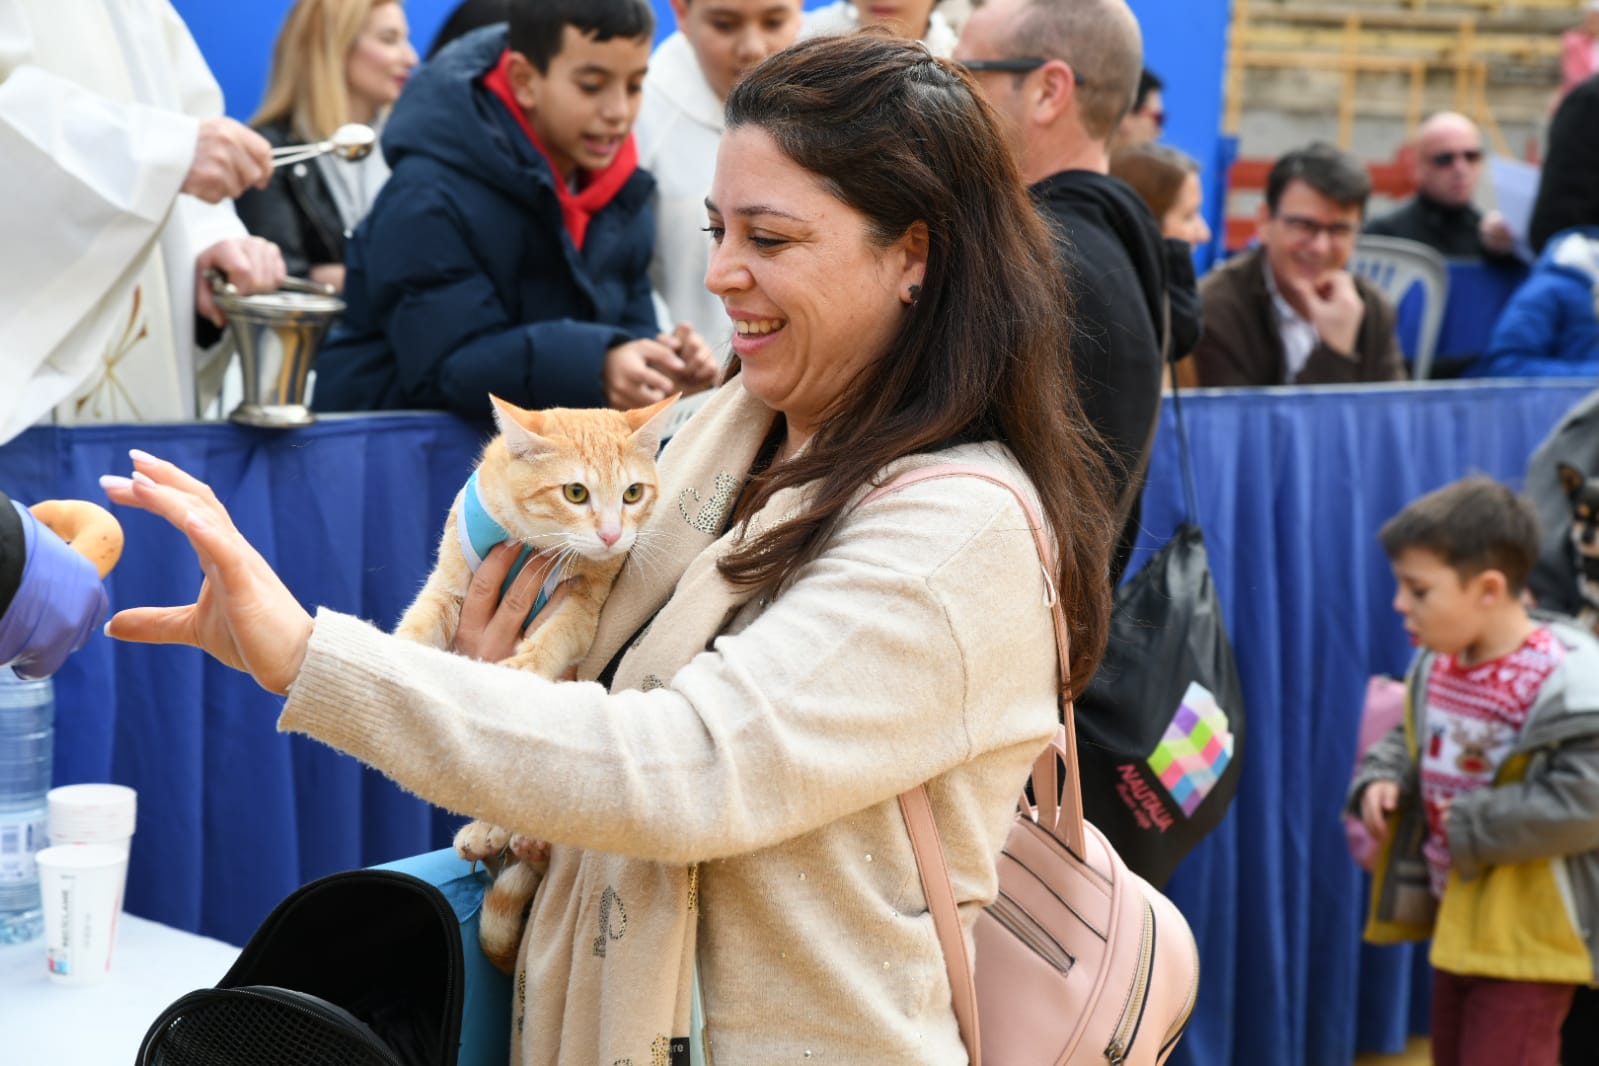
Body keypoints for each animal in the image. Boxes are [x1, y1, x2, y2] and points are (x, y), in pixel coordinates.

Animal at [399, 394, 681, 978]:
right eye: (576, 493)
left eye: (632, 493)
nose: (612, 535)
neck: (532, 543)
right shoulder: (449, 585)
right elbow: (417, 625)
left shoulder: (584, 608)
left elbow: (549, 641)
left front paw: (523, 665)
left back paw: (499, 831)